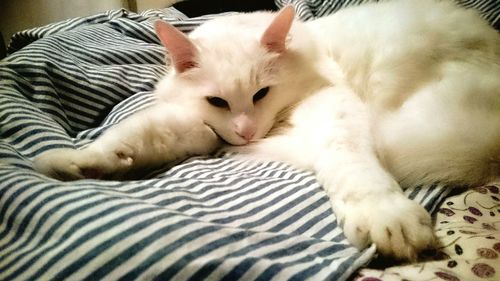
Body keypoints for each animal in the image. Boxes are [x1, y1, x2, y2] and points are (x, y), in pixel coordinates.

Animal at [35, 0, 500, 260]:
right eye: (218, 102)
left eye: (262, 94)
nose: (244, 131)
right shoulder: (200, 125)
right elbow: (135, 138)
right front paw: (77, 162)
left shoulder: (329, 100)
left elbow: (349, 160)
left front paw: (382, 212)